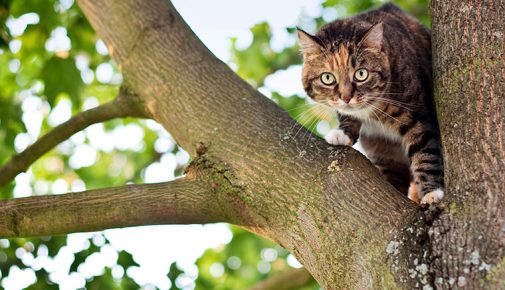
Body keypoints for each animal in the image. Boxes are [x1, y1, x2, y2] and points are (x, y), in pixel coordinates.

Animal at [298, 3, 442, 205]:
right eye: (327, 78)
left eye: (361, 74)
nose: (346, 97)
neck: (373, 113)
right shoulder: (382, 148)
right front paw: (343, 133)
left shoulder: (420, 117)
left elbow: (425, 153)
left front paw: (431, 193)